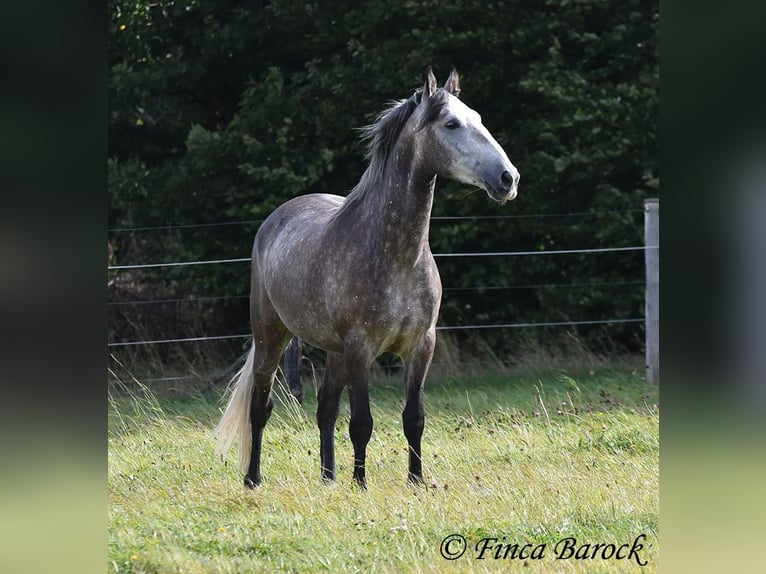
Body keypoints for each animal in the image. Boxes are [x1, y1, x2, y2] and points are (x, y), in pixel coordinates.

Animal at [213, 67, 520, 490]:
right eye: (451, 124)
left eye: (478, 118)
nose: (508, 178)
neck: (398, 257)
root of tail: (276, 219)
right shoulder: (361, 349)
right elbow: (361, 422)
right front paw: (361, 484)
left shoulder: (420, 346)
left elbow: (414, 419)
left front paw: (416, 482)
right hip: (271, 336)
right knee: (261, 406)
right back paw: (253, 479)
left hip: (334, 351)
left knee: (325, 408)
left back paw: (328, 478)